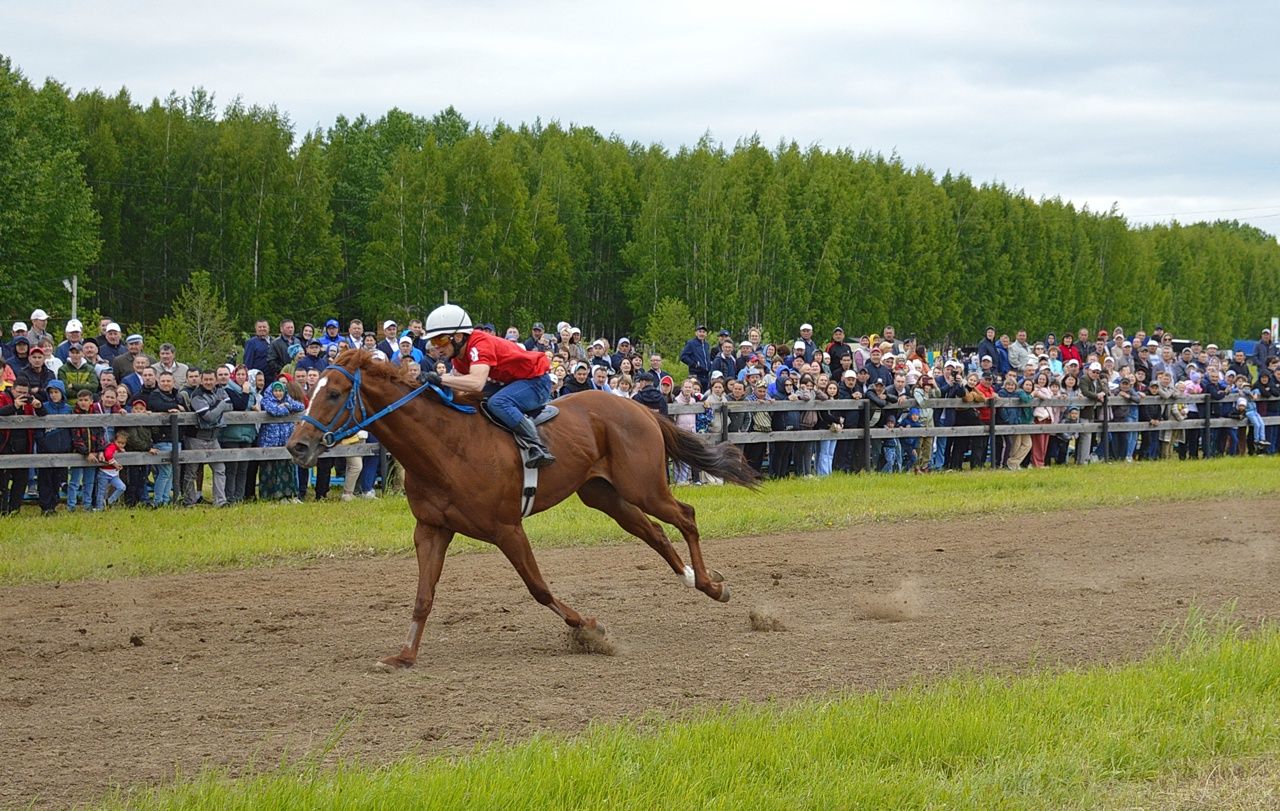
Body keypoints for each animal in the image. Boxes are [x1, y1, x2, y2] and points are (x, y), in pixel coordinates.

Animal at [285, 350, 752, 665]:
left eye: (335, 393)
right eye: (309, 391)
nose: (297, 446)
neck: (445, 445)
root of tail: (638, 406)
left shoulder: (506, 528)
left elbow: (538, 587)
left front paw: (591, 630)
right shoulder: (432, 529)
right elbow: (423, 595)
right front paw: (403, 655)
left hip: (643, 486)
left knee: (685, 517)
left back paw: (710, 584)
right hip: (605, 495)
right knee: (653, 532)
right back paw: (695, 579)